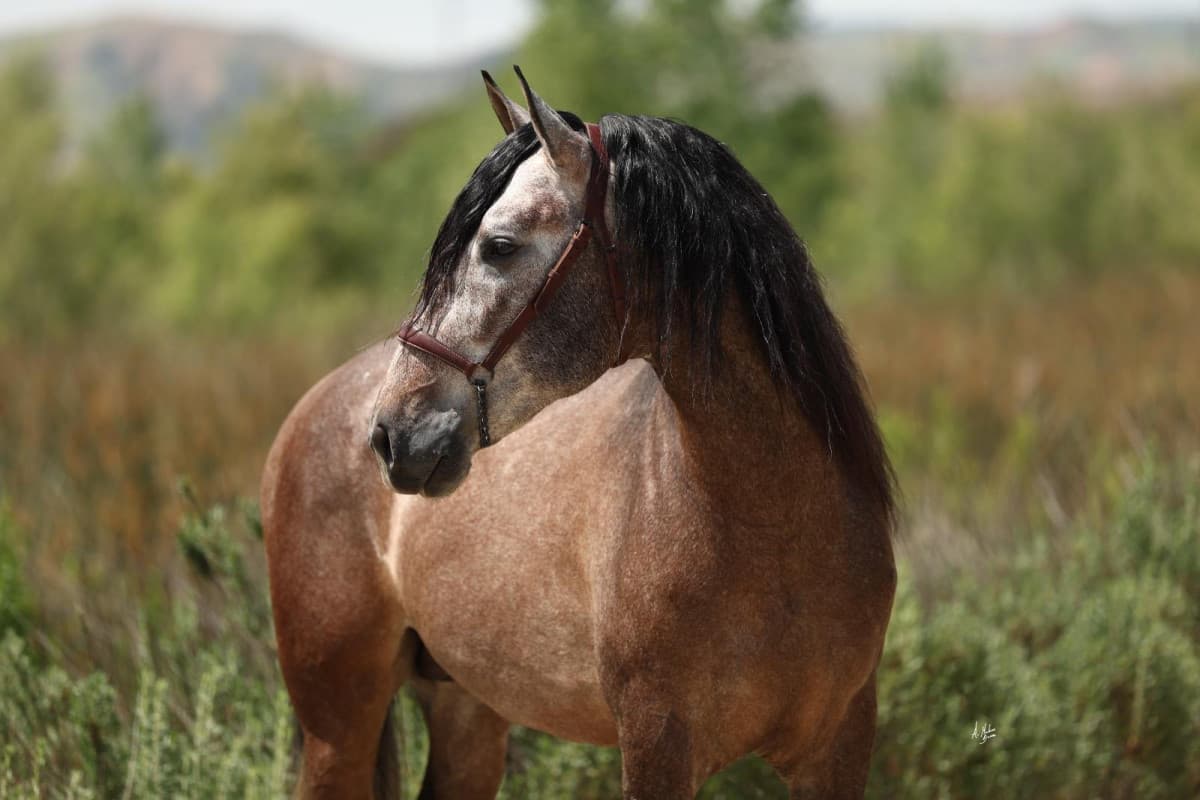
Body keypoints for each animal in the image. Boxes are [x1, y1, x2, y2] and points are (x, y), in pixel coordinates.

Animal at [261, 67, 897, 800]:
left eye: (499, 246)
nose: (394, 432)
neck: (776, 527)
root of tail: (313, 407)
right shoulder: (655, 746)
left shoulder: (838, 749)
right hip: (337, 731)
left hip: (467, 717)